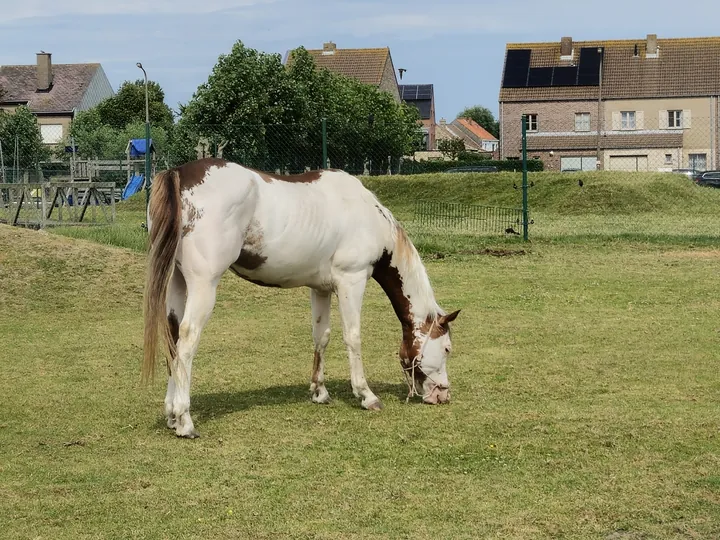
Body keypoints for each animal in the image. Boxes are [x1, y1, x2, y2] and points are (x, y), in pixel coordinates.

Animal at [142, 158, 462, 436]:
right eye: (447, 349)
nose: (442, 395)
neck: (366, 213)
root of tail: (180, 174)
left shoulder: (320, 289)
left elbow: (322, 336)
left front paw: (319, 391)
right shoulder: (352, 281)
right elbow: (353, 336)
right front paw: (366, 395)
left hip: (178, 283)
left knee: (173, 339)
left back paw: (171, 415)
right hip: (203, 285)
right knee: (187, 340)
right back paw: (185, 420)